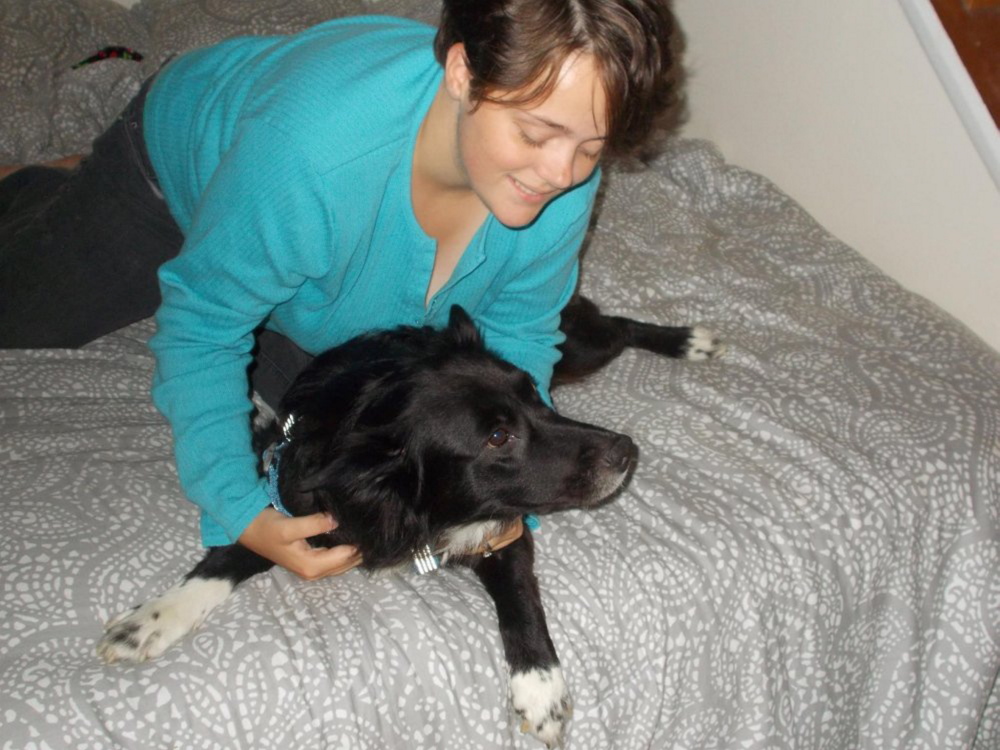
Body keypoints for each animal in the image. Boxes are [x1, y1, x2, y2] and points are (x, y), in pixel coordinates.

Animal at [97, 296, 724, 748]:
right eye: (498, 436)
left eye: (534, 395)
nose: (626, 452)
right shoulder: (298, 503)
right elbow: (231, 556)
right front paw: (153, 619)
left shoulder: (506, 527)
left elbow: (521, 600)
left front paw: (541, 688)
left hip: (574, 345)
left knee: (615, 325)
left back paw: (687, 340)